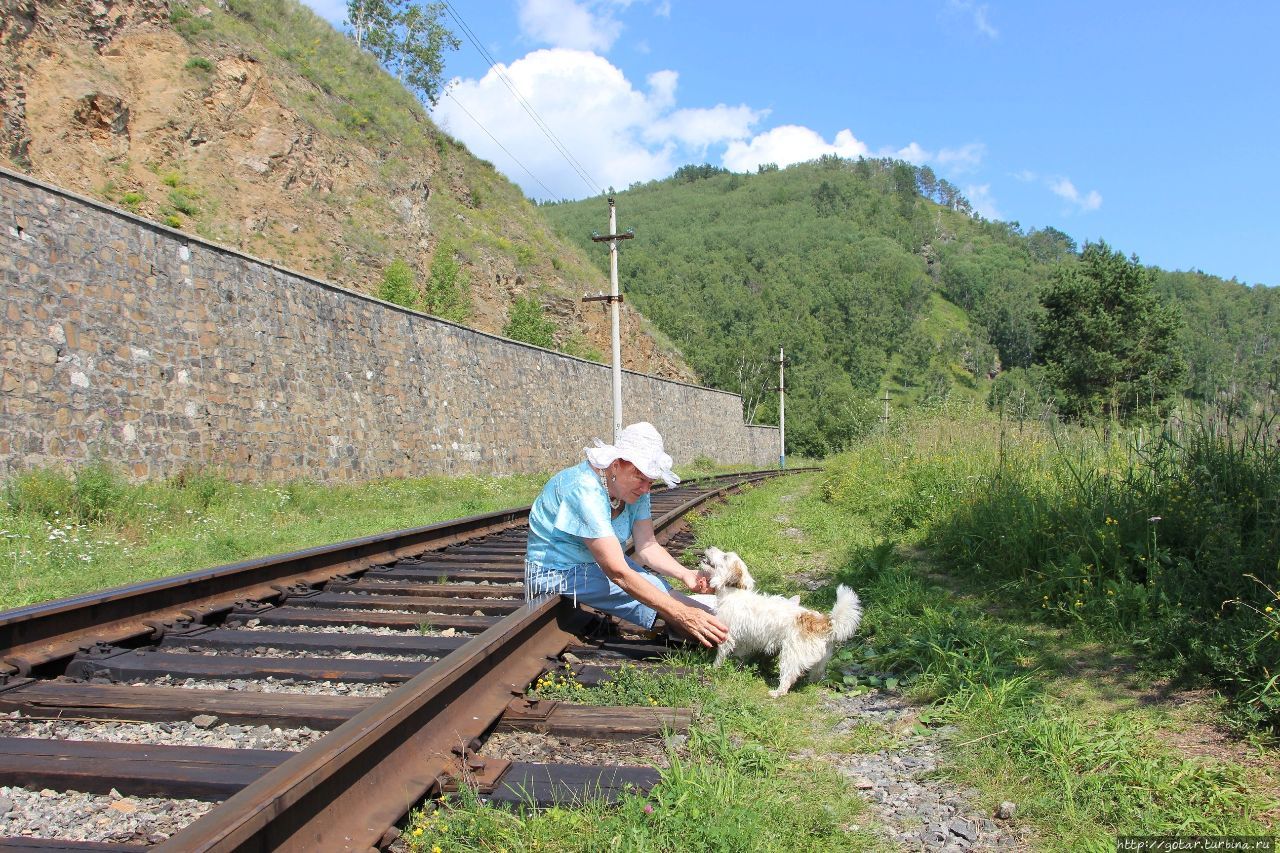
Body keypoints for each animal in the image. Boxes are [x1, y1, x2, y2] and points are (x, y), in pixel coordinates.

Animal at [696, 545, 865, 696]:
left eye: (725, 557)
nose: (709, 546)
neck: (733, 592)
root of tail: (824, 622)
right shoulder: (746, 640)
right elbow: (740, 654)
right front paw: (738, 666)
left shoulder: (727, 634)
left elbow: (721, 655)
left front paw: (714, 668)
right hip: (821, 659)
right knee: (816, 674)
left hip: (791, 655)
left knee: (788, 676)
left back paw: (778, 692)